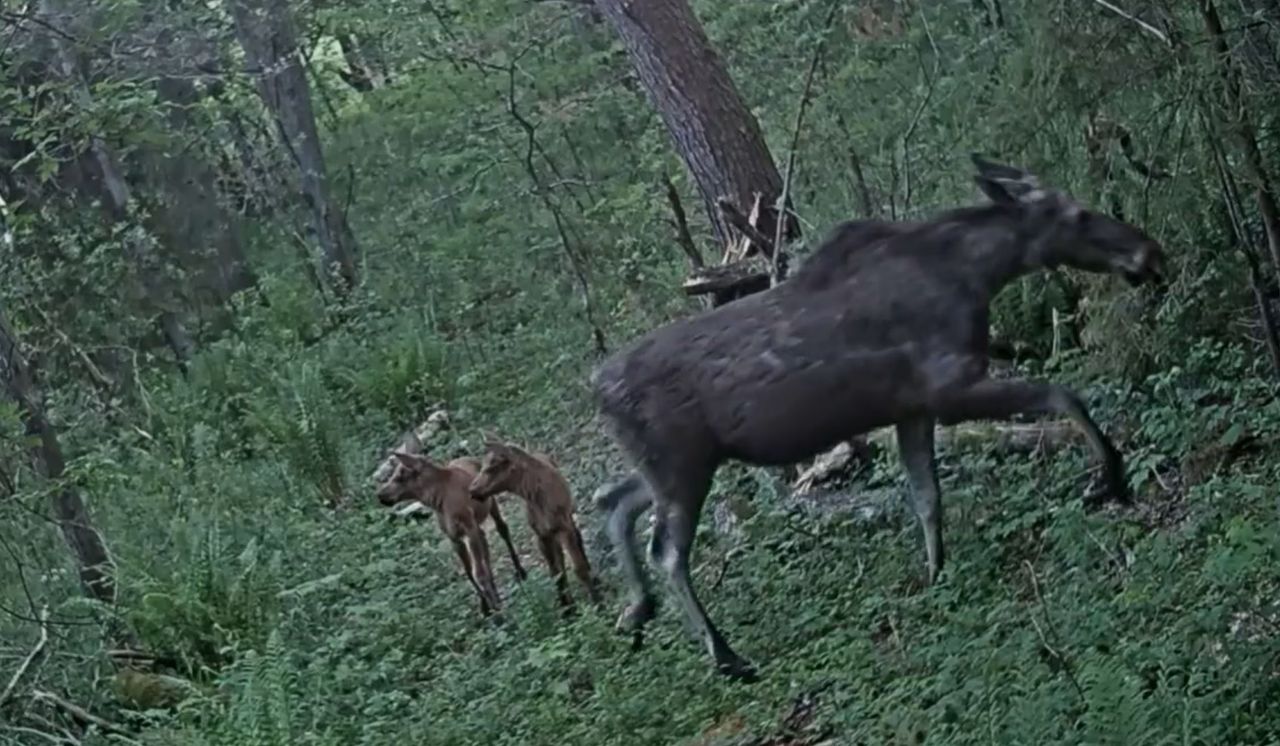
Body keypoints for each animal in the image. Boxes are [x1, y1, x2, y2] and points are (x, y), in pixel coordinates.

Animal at [373, 435, 524, 616]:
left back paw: (520, 572)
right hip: (476, 525)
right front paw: (485, 606)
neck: (439, 502)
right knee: (485, 547)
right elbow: (469, 572)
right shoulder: (454, 536)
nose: (381, 495)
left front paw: (495, 610)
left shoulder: (468, 529)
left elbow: (478, 572)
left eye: (400, 477)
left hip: (491, 503)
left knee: (502, 529)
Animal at [471, 440, 604, 609]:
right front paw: (567, 607)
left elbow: (578, 568)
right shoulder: (541, 535)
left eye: (491, 468)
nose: (472, 489)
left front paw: (598, 602)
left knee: (578, 538)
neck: (534, 496)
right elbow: (555, 572)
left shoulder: (564, 527)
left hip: (568, 518)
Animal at [591, 156, 1172, 680]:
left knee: (614, 501)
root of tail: (596, 388)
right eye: (1078, 213)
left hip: (675, 466)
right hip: (683, 467)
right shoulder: (950, 388)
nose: (1150, 251)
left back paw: (637, 612)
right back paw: (726, 656)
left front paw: (936, 573)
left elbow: (927, 498)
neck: (980, 276)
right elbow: (1062, 395)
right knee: (667, 551)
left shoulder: (912, 409)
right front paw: (1111, 478)